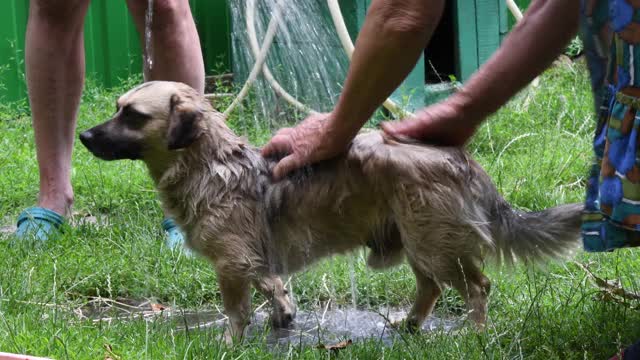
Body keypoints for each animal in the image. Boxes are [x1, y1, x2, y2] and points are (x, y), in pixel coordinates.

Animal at [80, 81, 584, 344]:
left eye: (132, 115)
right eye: (117, 108)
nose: (83, 136)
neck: (209, 163)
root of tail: (462, 159)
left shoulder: (231, 263)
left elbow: (237, 309)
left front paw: (229, 344)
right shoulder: (255, 256)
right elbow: (272, 284)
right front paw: (283, 313)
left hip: (435, 244)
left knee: (477, 286)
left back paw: (474, 335)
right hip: (419, 240)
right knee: (431, 288)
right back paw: (410, 326)